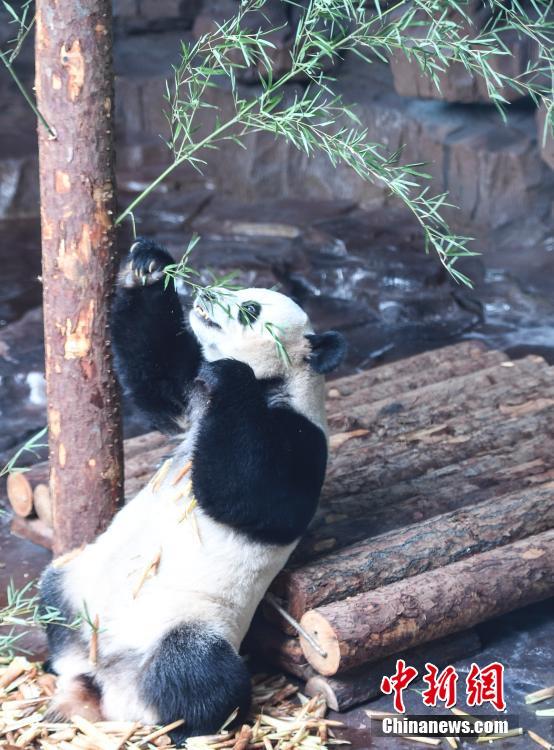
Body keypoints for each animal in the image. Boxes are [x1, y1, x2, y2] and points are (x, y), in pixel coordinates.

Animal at [41, 238, 344, 744]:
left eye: (249, 308)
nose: (203, 296)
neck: (276, 380)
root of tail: (110, 686)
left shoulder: (300, 433)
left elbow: (257, 498)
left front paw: (231, 374)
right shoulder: (189, 396)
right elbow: (156, 379)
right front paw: (147, 265)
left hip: (187, 623)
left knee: (198, 674)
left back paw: (190, 725)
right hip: (81, 586)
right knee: (52, 594)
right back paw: (60, 663)